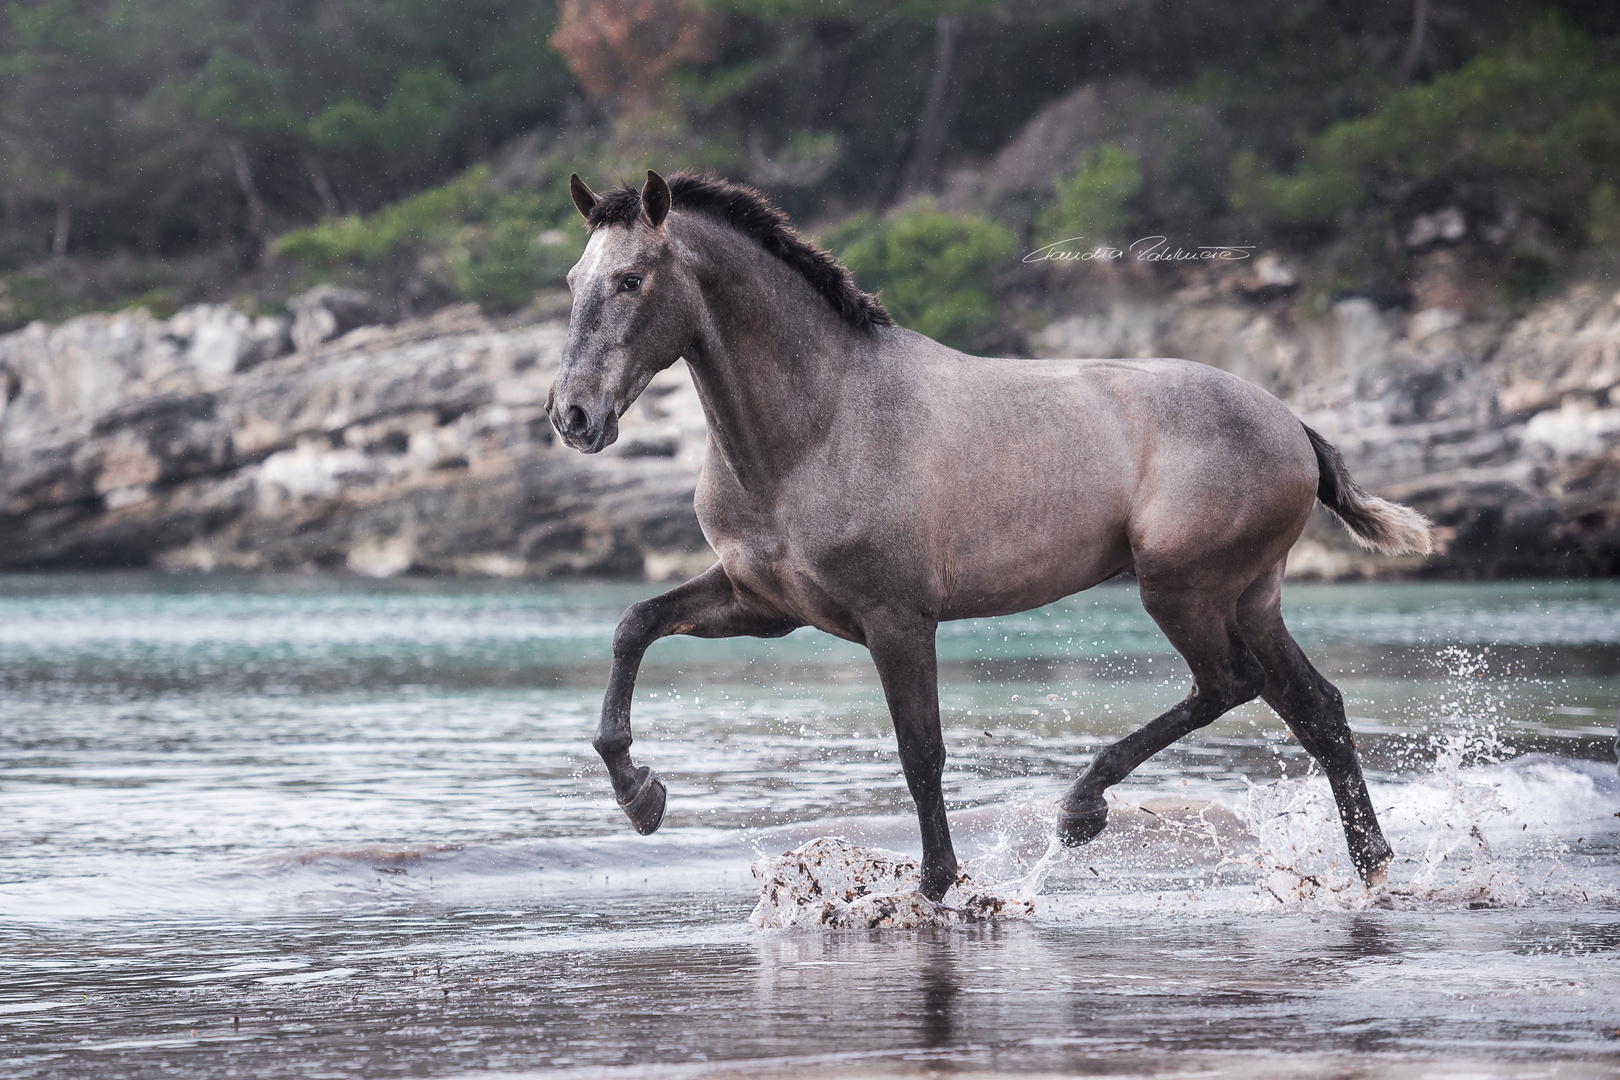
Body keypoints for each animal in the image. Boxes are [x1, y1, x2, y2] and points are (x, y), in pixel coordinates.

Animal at [554, 169, 1432, 900]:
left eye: (631, 280)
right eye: (572, 281)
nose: (573, 417)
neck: (820, 425)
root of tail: (1292, 424)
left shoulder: (897, 620)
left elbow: (921, 754)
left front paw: (938, 886)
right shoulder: (764, 604)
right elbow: (634, 625)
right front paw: (640, 795)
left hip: (1180, 589)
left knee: (1229, 685)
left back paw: (1081, 808)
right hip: (1250, 596)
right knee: (1316, 710)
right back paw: (1371, 865)